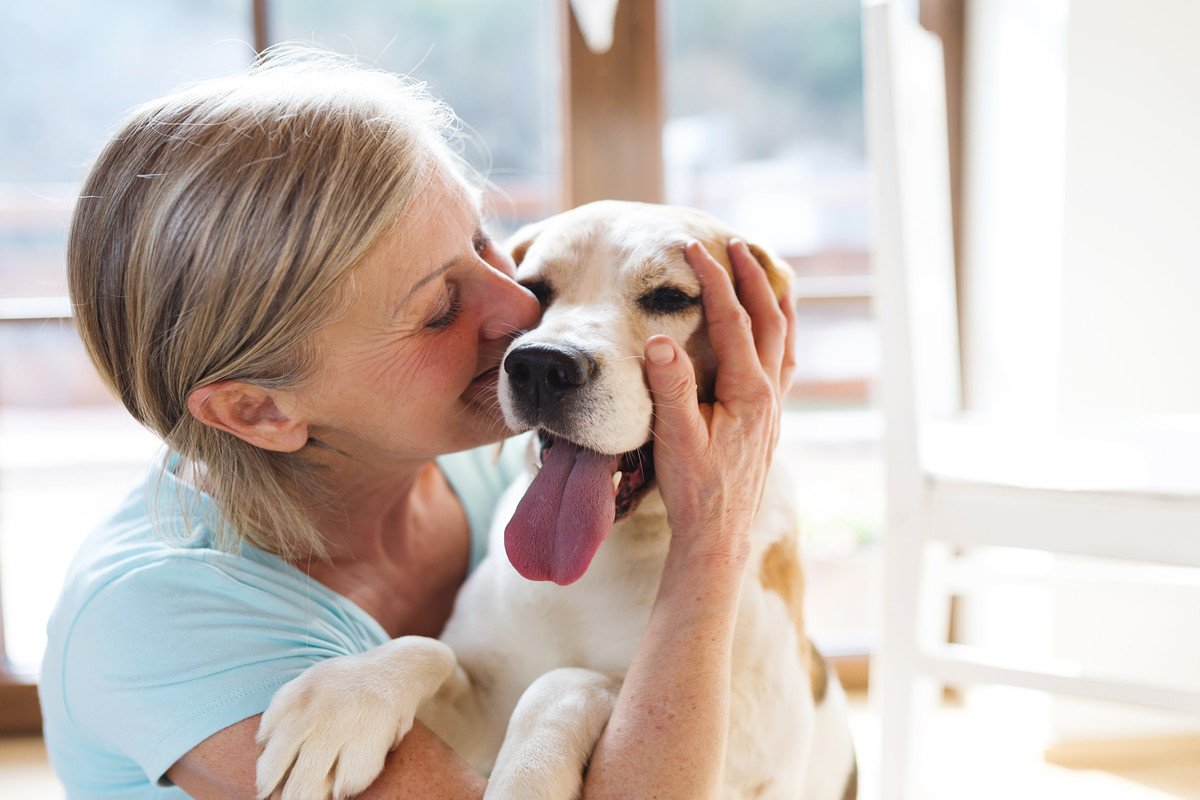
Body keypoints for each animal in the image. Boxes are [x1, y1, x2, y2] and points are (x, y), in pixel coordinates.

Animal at [255, 201, 854, 800]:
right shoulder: (481, 710)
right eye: (533, 289)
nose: (541, 365)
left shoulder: (748, 751)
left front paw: (529, 774)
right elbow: (428, 647)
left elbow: (567, 681)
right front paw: (345, 699)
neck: (599, 563)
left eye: (669, 297)